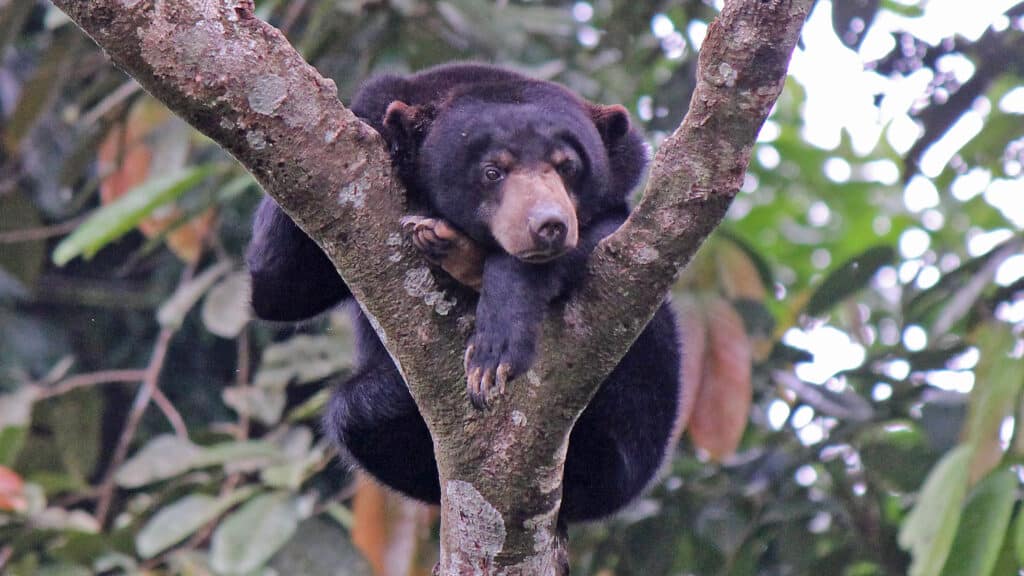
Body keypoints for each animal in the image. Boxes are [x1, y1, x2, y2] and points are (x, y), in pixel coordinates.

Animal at [244, 62, 684, 520]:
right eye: (492, 171)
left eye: (567, 167)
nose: (549, 225)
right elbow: (280, 289)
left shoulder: (624, 180)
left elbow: (614, 237)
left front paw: (496, 344)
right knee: (356, 413)